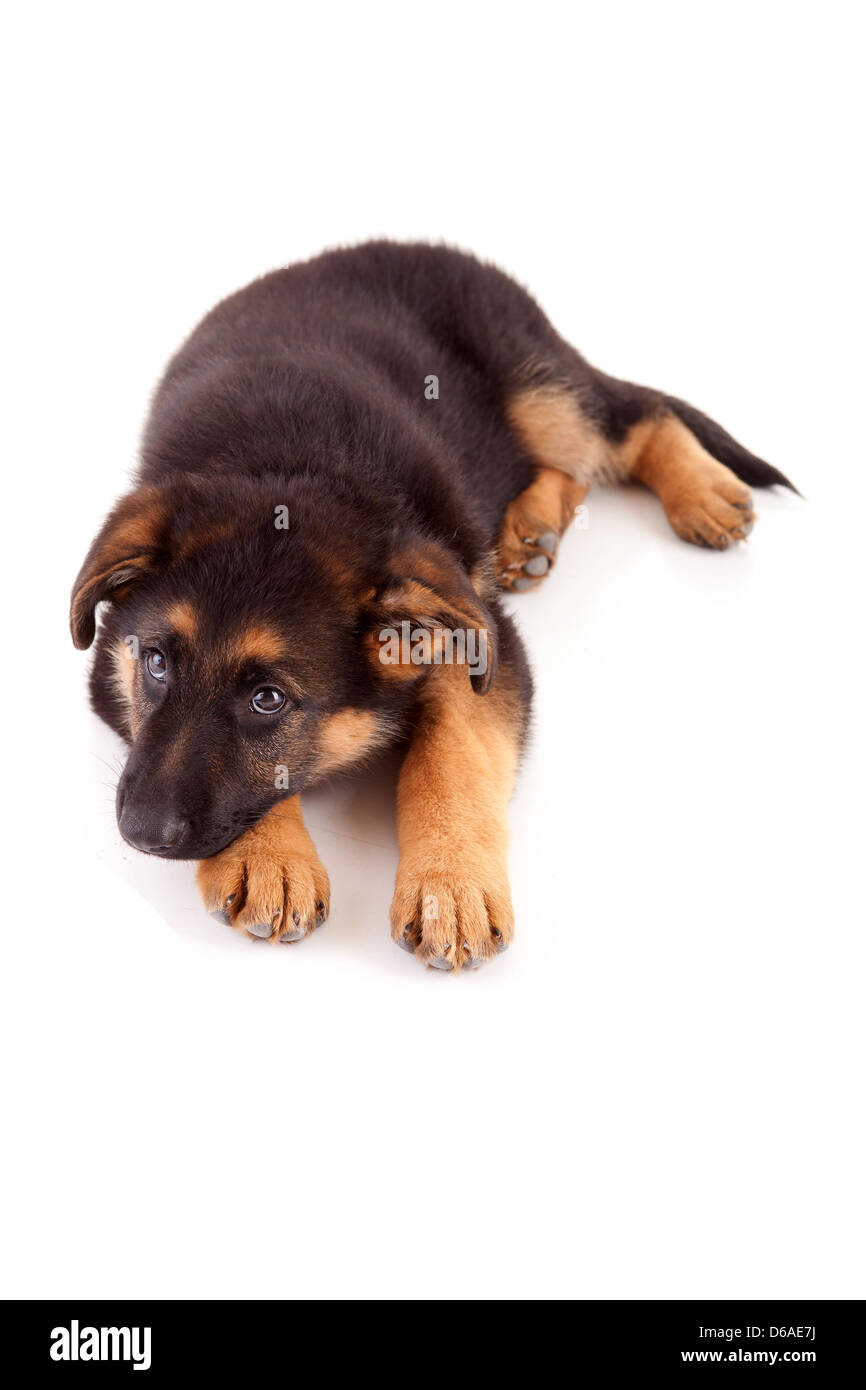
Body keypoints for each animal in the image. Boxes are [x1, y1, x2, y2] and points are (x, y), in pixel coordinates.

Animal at [71, 241, 795, 967]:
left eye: (267, 700)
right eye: (156, 663)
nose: (139, 832)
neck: (286, 469)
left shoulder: (483, 644)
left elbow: (453, 755)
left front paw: (451, 886)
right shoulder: (109, 669)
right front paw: (268, 857)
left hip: (539, 390)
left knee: (632, 418)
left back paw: (697, 490)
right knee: (574, 467)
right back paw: (530, 533)